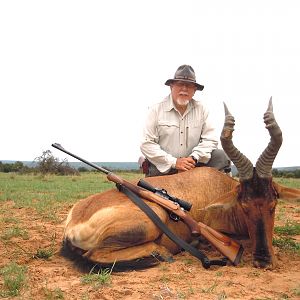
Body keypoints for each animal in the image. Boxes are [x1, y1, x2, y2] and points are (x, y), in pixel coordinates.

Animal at [61, 99, 300, 270]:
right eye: (244, 206)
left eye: (273, 204)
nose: (264, 262)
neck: (220, 186)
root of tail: (74, 221)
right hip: (153, 217)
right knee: (94, 254)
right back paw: (163, 253)